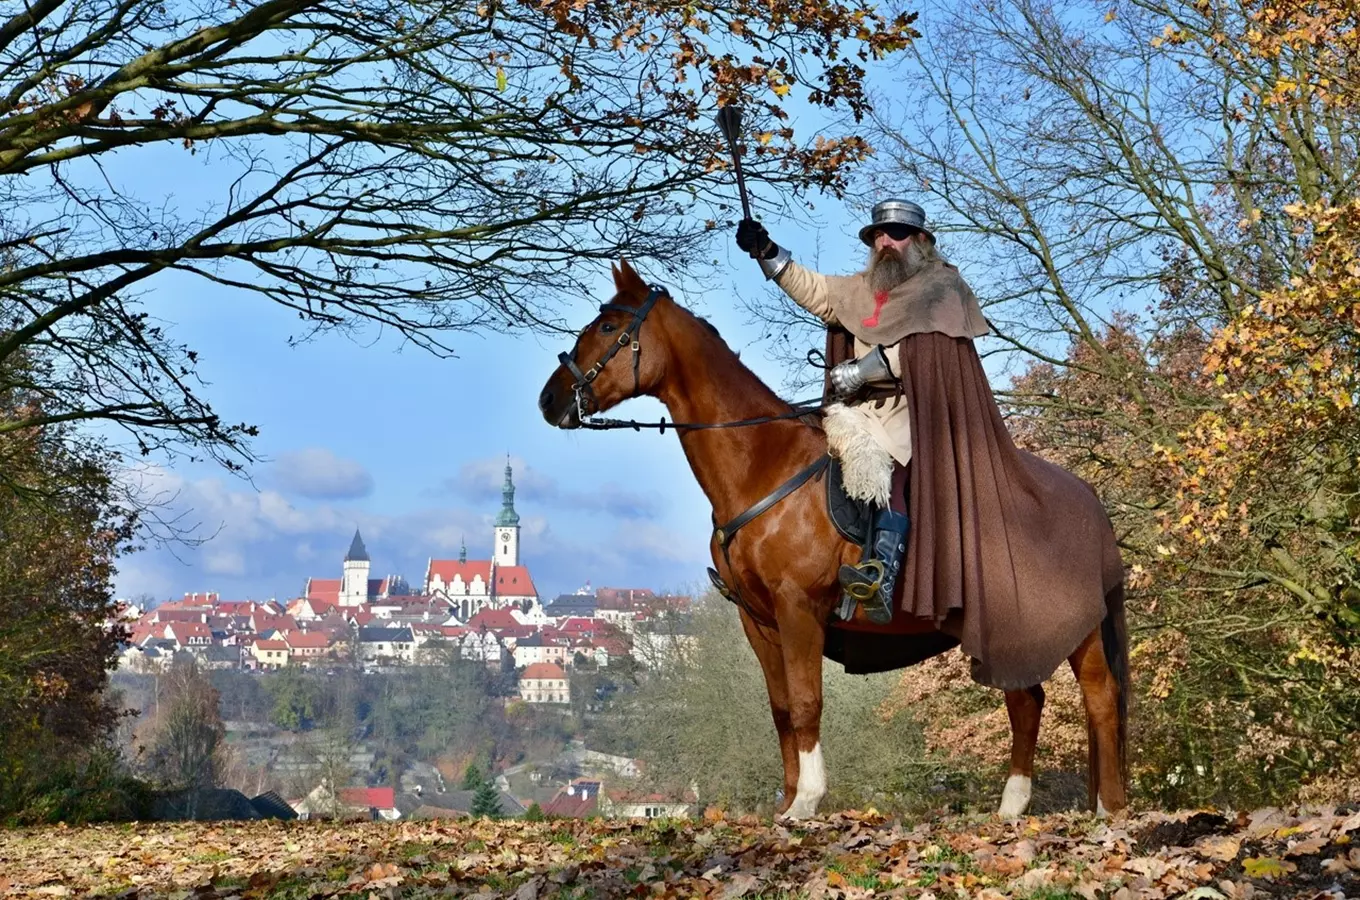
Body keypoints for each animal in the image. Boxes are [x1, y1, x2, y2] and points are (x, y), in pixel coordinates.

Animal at [535, 259, 1131, 815]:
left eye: (609, 326)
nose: (550, 400)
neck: (764, 464)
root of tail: (1086, 500)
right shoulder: (759, 620)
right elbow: (781, 710)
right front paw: (785, 803)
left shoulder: (798, 608)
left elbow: (806, 703)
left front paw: (807, 801)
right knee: (1026, 700)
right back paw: (1011, 809)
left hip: (1075, 630)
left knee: (1099, 698)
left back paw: (1108, 808)